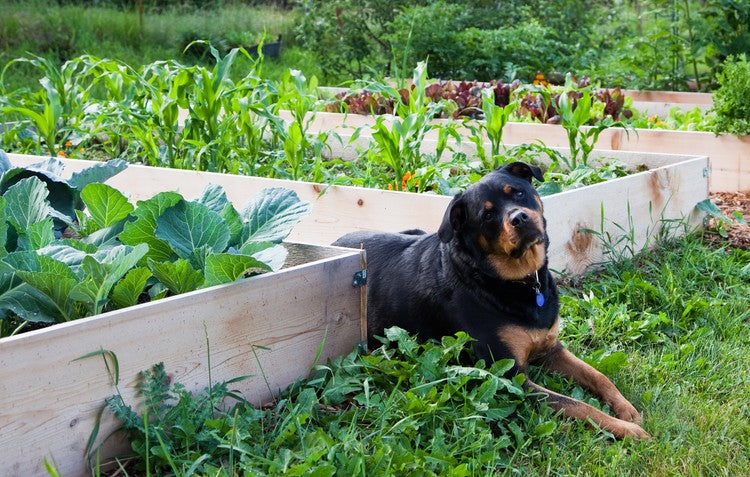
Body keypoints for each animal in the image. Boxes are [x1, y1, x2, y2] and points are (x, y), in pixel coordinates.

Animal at [334, 163, 652, 438]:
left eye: (518, 193)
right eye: (486, 216)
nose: (519, 217)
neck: (518, 280)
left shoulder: (551, 349)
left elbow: (598, 375)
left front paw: (627, 410)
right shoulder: (511, 377)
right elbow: (578, 405)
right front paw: (628, 430)